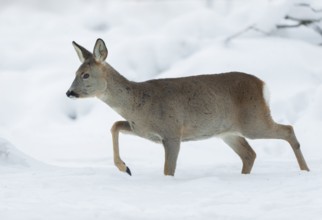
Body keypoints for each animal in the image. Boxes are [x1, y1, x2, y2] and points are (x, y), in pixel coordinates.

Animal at [66, 37, 310, 175]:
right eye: (75, 73)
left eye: (86, 75)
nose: (69, 92)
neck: (137, 104)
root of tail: (263, 85)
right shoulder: (141, 130)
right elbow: (115, 125)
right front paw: (124, 167)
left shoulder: (172, 131)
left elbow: (168, 170)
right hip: (228, 131)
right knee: (249, 154)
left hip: (254, 121)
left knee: (288, 130)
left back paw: (305, 171)